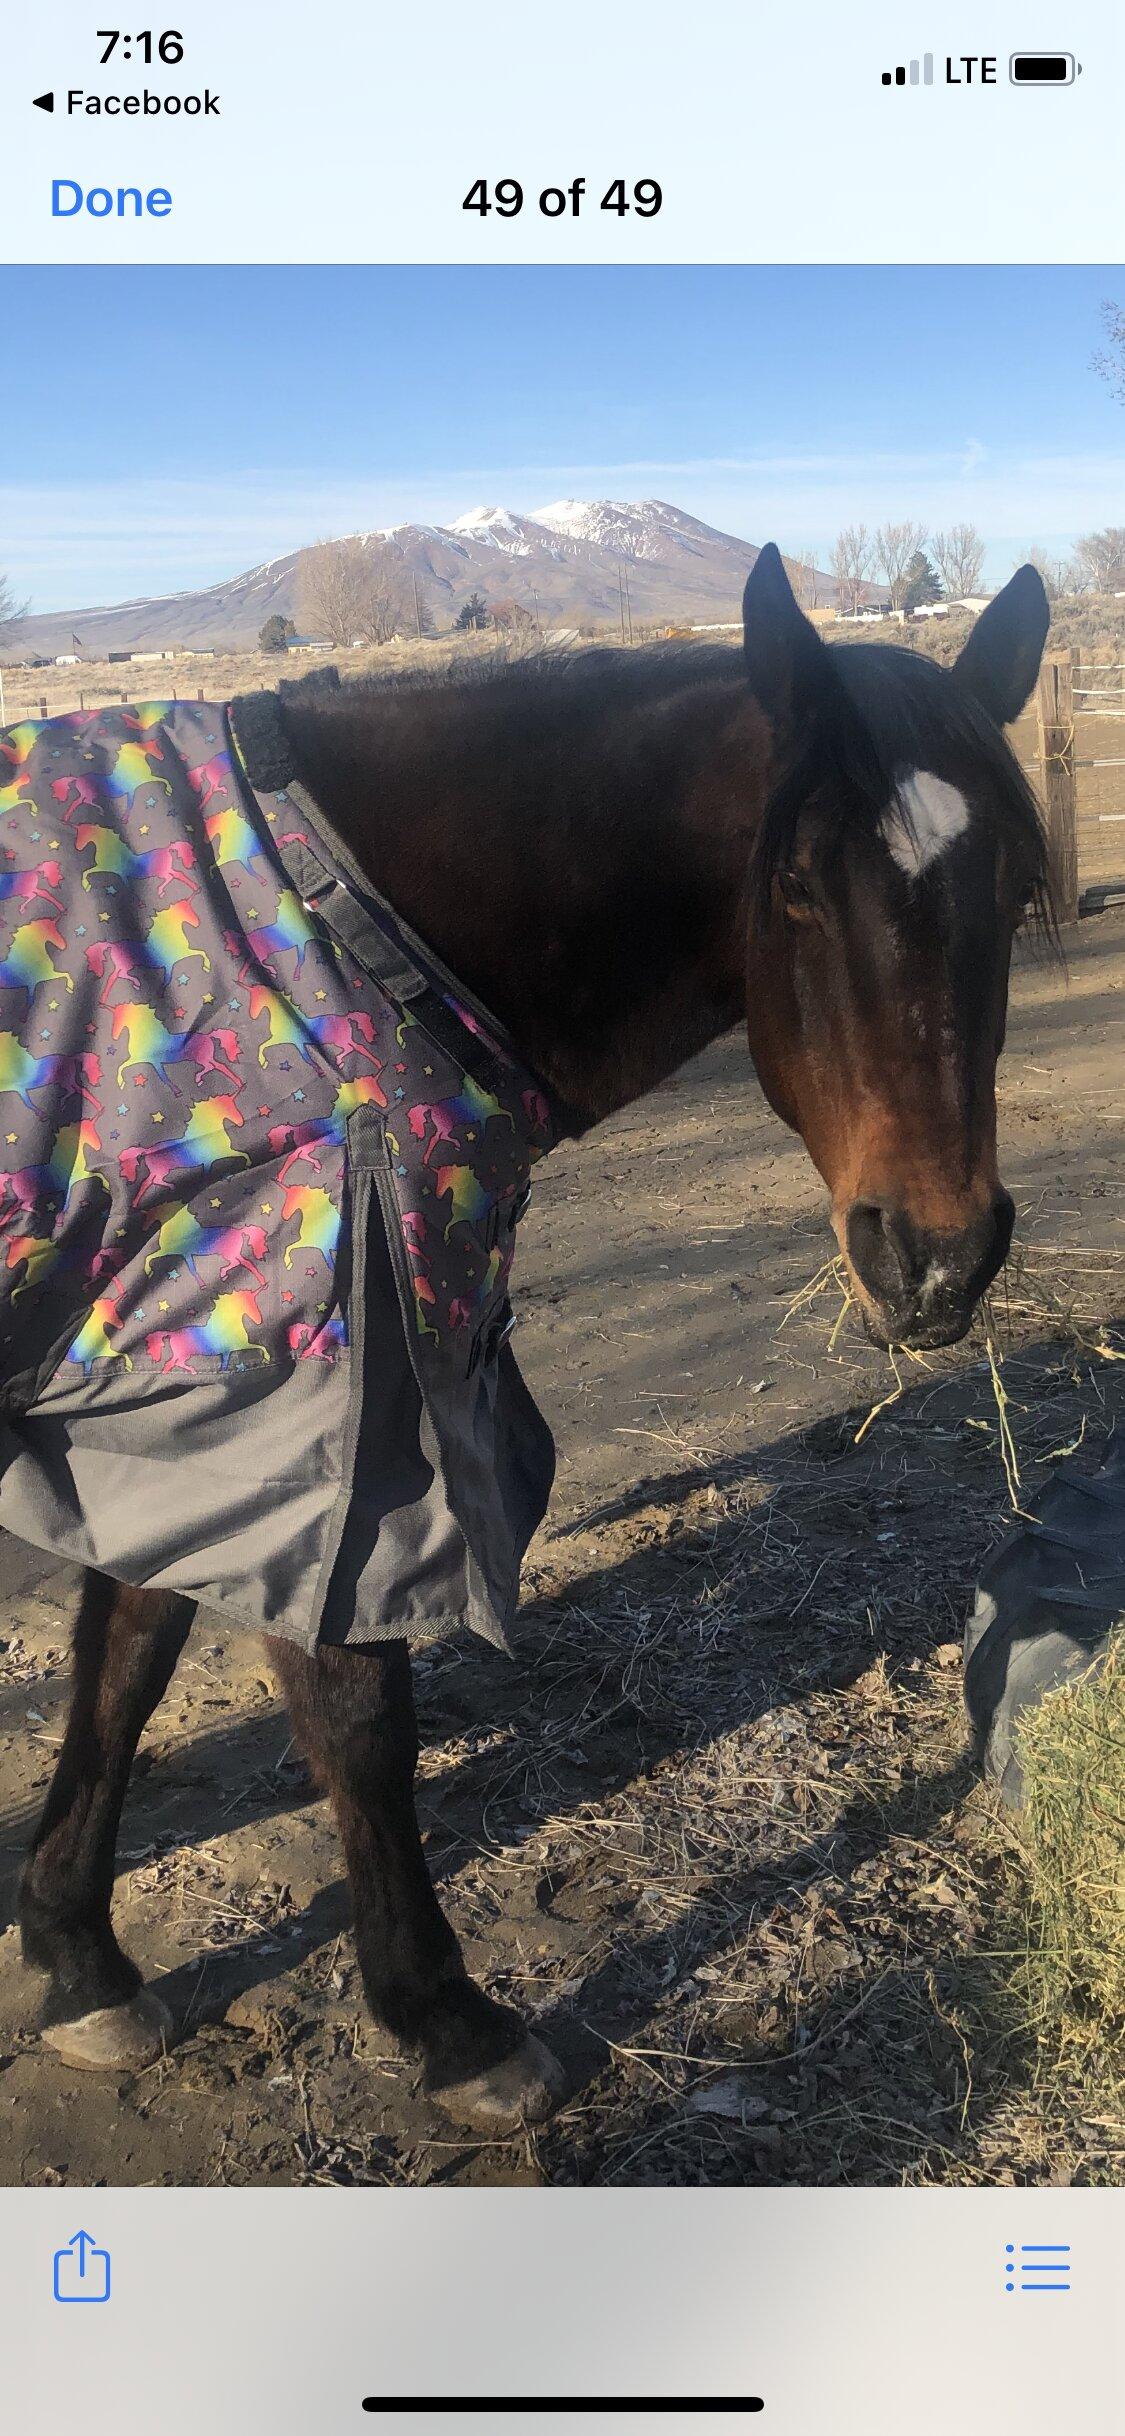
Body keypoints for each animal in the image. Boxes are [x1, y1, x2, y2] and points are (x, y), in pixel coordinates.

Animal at [13, 548, 1051, 2128]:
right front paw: (445, 2019)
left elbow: (129, 1643)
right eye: (797, 887)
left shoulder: (191, 1356)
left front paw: (77, 1954)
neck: (336, 933)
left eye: (1012, 883)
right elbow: (350, 1698)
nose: (936, 1255)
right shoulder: (329, 1368)